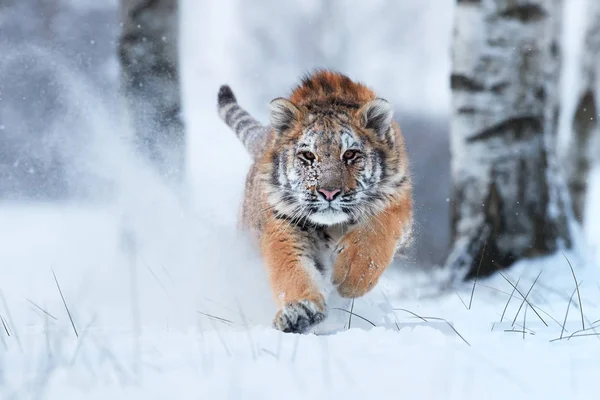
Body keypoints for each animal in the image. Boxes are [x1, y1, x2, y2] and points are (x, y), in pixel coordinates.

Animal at [216, 70, 412, 332]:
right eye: (308, 155)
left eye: (350, 154)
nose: (328, 192)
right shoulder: (284, 220)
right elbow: (290, 267)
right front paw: (300, 311)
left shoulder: (396, 198)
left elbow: (375, 233)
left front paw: (351, 277)